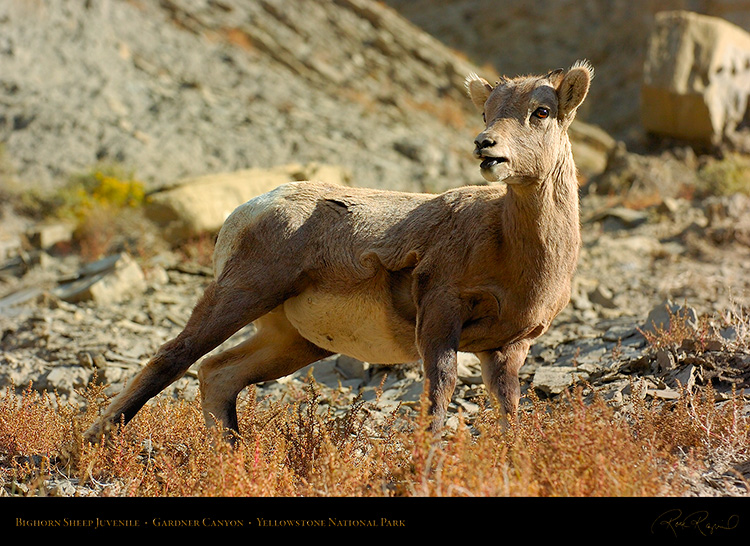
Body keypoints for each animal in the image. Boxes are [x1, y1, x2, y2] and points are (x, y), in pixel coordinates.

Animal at [86, 60, 592, 442]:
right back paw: (90, 444)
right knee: (174, 356)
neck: (514, 252)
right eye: (487, 113)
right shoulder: (440, 316)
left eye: (541, 111)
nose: (486, 147)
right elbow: (438, 396)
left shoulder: (507, 349)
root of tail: (248, 209)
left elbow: (508, 411)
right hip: (241, 294)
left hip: (292, 340)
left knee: (218, 374)